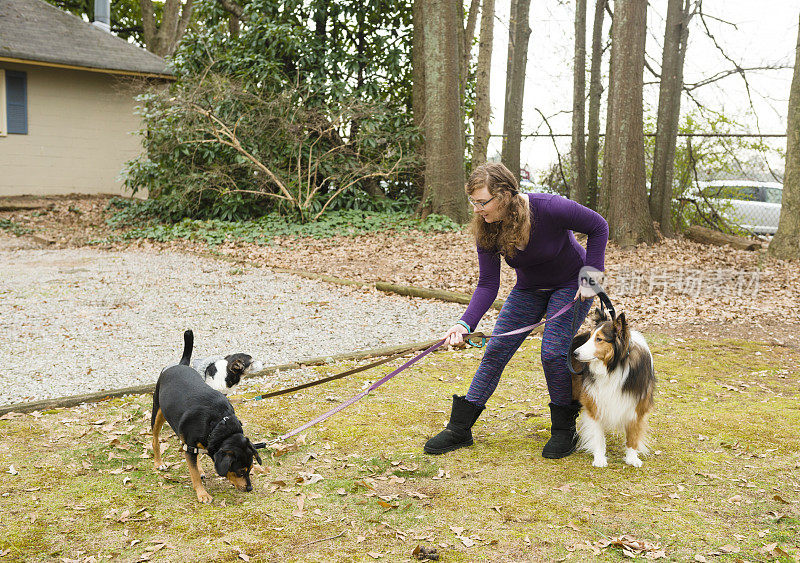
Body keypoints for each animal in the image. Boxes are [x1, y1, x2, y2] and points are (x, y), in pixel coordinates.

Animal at [151, 328, 262, 504]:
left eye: (251, 468)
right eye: (239, 471)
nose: (249, 488)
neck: (218, 423)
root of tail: (180, 365)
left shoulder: (194, 445)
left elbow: (195, 462)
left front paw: (200, 471)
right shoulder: (190, 447)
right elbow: (194, 473)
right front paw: (202, 494)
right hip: (157, 412)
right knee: (155, 439)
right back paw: (159, 462)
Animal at [568, 308, 656, 468]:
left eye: (599, 339)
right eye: (590, 337)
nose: (575, 353)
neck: (614, 366)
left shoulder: (636, 404)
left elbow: (633, 434)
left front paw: (632, 457)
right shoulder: (594, 400)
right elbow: (597, 434)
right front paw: (599, 458)